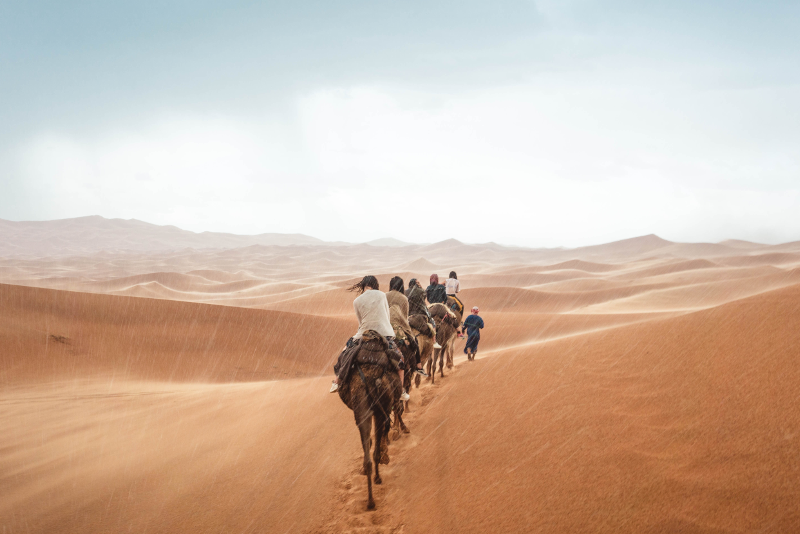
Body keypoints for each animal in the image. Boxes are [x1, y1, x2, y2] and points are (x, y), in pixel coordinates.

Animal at [336, 340, 400, 510]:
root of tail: (372, 379)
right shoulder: (383, 410)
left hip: (362, 408)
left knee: (368, 453)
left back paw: (370, 500)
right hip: (378, 408)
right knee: (375, 448)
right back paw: (376, 484)